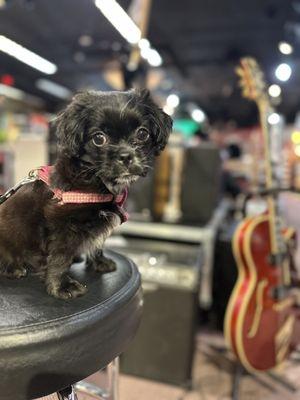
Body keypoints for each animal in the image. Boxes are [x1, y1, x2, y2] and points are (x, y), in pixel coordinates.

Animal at [0, 89, 171, 298]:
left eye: (142, 133)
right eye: (99, 138)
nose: (126, 156)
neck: (96, 179)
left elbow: (97, 243)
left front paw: (99, 262)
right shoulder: (62, 221)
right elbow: (60, 256)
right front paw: (60, 286)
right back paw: (13, 267)